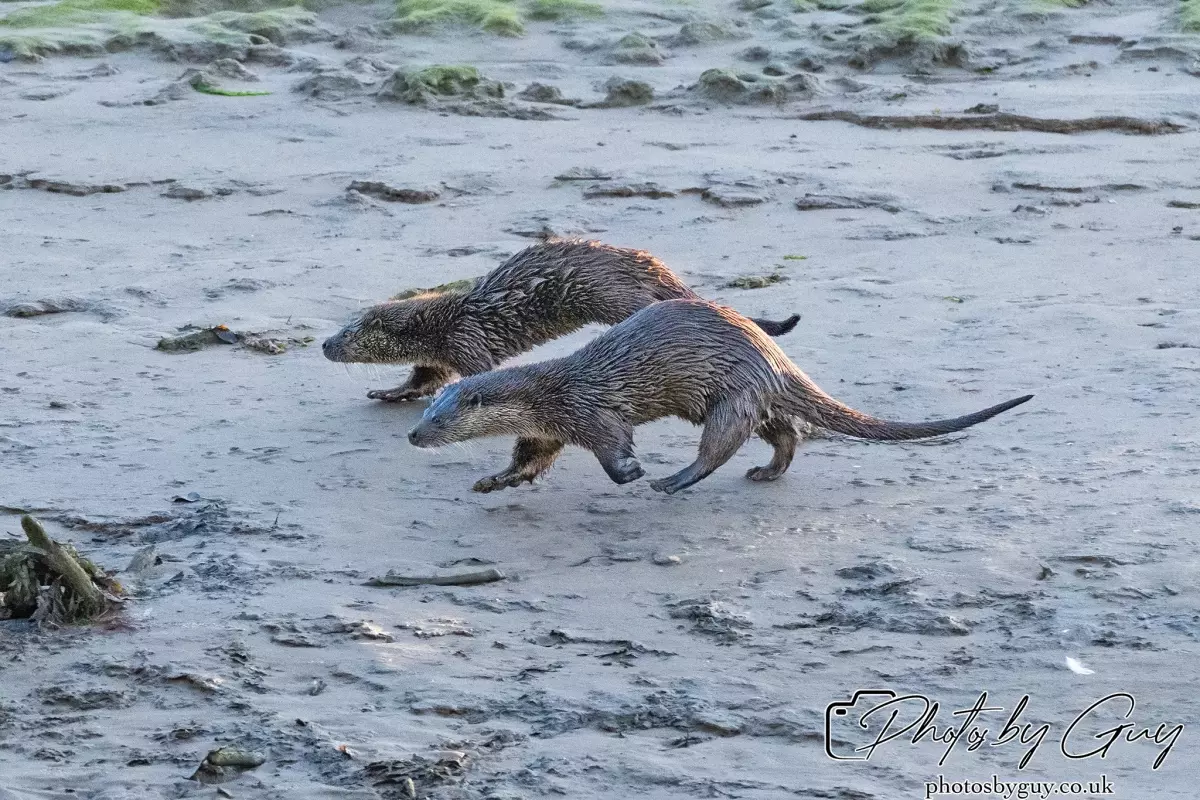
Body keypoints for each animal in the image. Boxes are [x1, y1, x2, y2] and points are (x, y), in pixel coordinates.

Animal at [322, 238, 800, 402]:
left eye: (349, 333)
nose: (325, 344)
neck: (443, 322)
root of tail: (645, 260)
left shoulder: (466, 340)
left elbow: (473, 372)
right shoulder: (438, 353)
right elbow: (421, 378)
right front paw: (387, 392)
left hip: (613, 293)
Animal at [406, 299, 1032, 495]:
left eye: (439, 420)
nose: (412, 435)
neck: (550, 393)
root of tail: (774, 355)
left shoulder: (591, 413)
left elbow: (613, 444)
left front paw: (631, 473)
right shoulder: (547, 428)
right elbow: (529, 461)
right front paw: (494, 480)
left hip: (733, 394)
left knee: (718, 448)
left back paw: (672, 481)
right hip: (756, 400)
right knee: (785, 433)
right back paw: (766, 473)